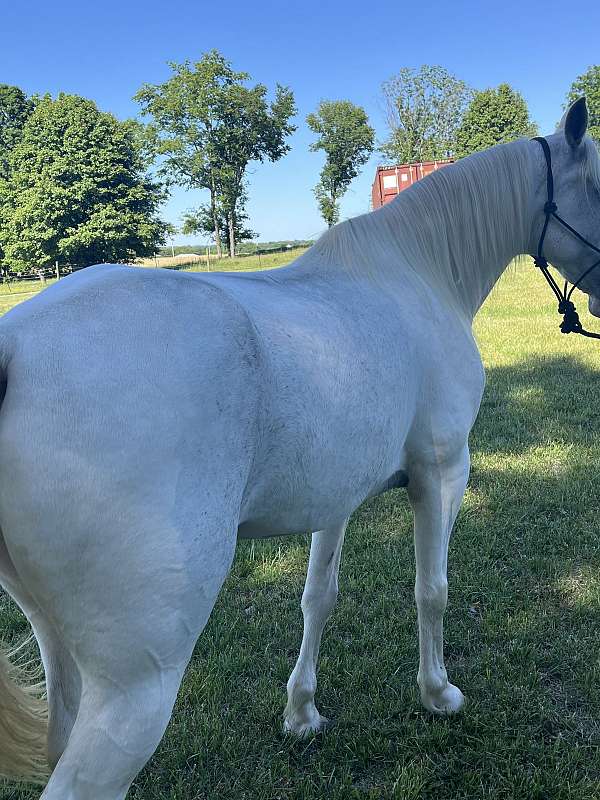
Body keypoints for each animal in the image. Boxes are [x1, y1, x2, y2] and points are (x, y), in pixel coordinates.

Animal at [0, 98, 598, 799]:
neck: (416, 273)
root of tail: (15, 347)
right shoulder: (443, 474)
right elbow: (432, 589)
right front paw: (438, 694)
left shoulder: (333, 500)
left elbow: (318, 599)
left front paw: (302, 712)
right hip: (134, 689)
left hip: (59, 651)